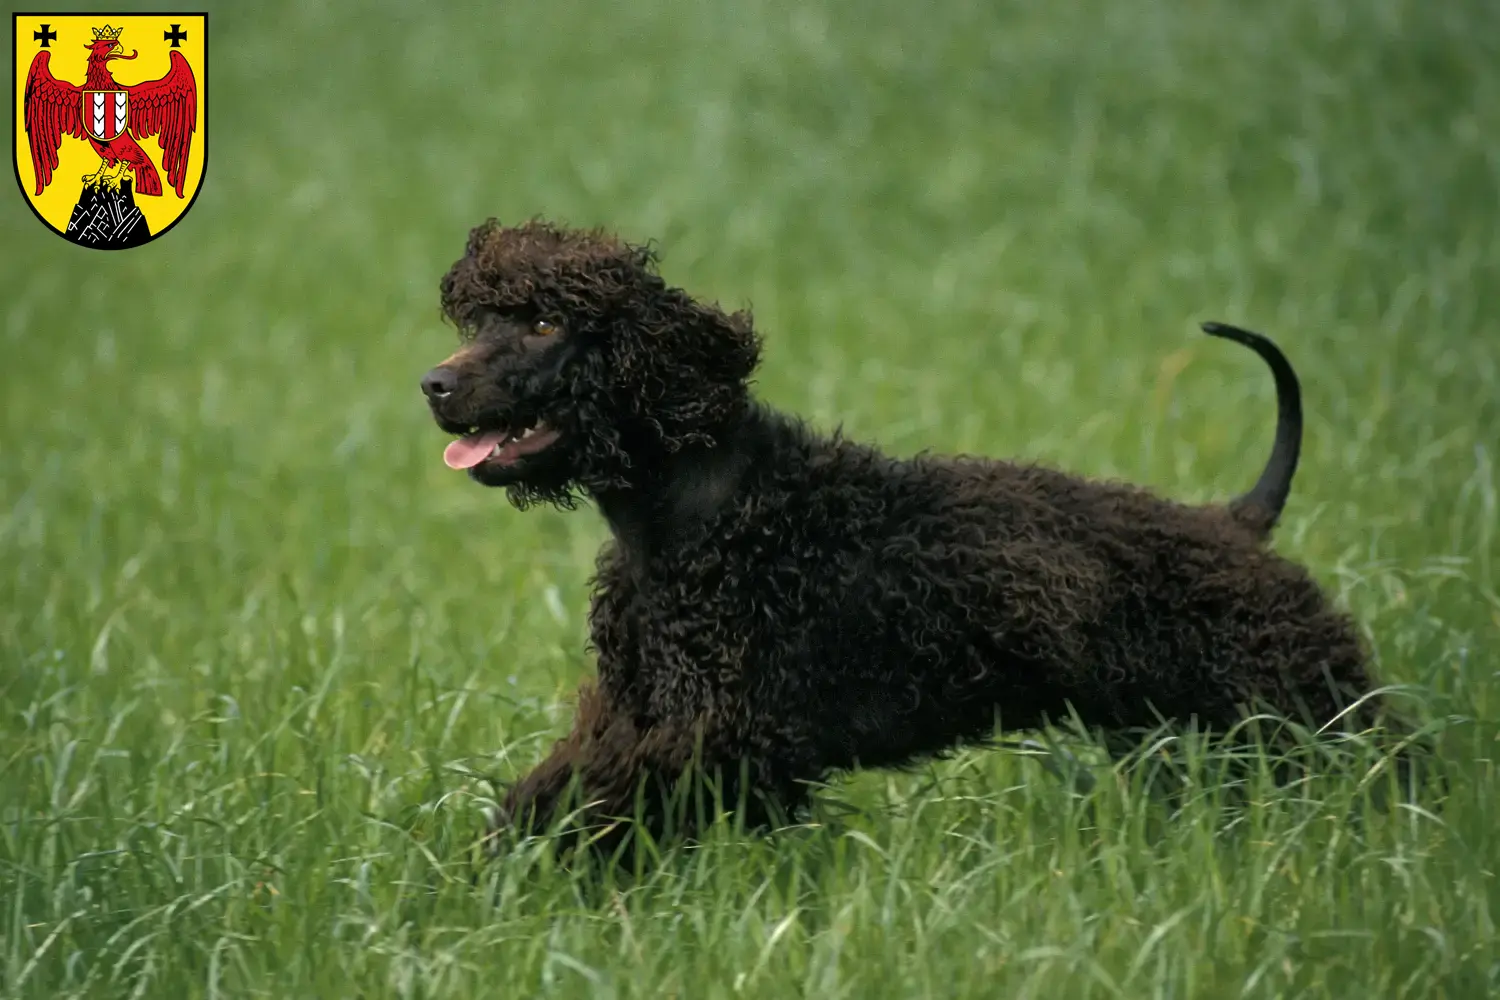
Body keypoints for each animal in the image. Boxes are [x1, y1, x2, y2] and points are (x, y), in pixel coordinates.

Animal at [420, 218, 1392, 863]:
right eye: (480, 322)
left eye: (548, 323)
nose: (433, 383)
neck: (698, 511)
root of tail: (1234, 519)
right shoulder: (640, 710)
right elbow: (551, 792)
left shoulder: (722, 734)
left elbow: (605, 802)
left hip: (1301, 701)